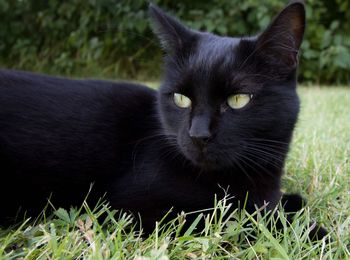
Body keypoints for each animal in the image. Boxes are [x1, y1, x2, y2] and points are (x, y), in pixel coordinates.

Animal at [0, 1, 328, 238]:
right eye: (181, 99)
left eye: (238, 100)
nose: (198, 134)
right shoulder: (131, 211)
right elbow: (234, 219)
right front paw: (315, 231)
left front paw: (291, 202)